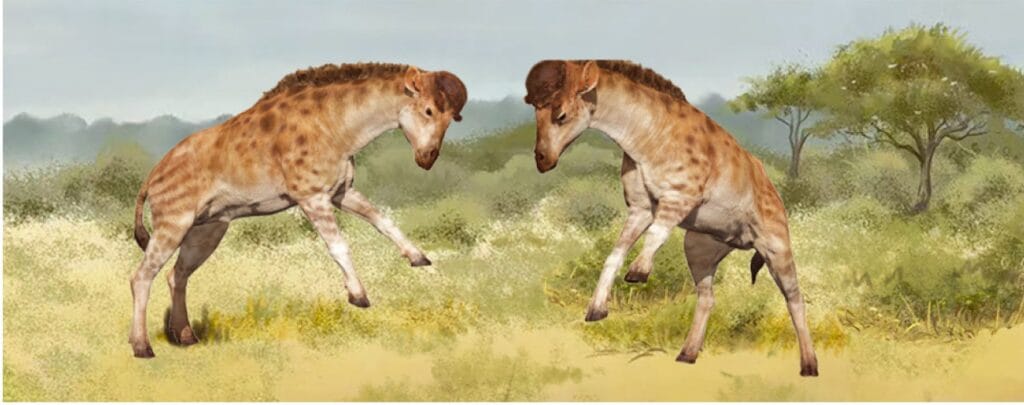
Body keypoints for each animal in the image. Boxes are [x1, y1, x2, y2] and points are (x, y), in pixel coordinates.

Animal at [128, 63, 467, 358]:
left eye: (452, 117)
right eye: (429, 110)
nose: (427, 158)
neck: (336, 125)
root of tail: (151, 178)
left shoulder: (340, 192)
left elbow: (383, 220)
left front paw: (419, 258)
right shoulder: (312, 197)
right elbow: (339, 245)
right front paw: (358, 296)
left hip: (207, 230)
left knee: (176, 275)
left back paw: (186, 337)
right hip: (174, 223)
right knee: (141, 277)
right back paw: (143, 347)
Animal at [524, 60, 818, 376]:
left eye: (561, 114)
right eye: (535, 112)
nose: (542, 159)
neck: (646, 137)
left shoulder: (680, 197)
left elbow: (657, 233)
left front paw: (638, 272)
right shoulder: (640, 208)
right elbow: (614, 255)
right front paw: (596, 310)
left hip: (776, 247)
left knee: (794, 298)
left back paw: (809, 365)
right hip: (699, 249)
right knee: (707, 297)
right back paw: (687, 354)